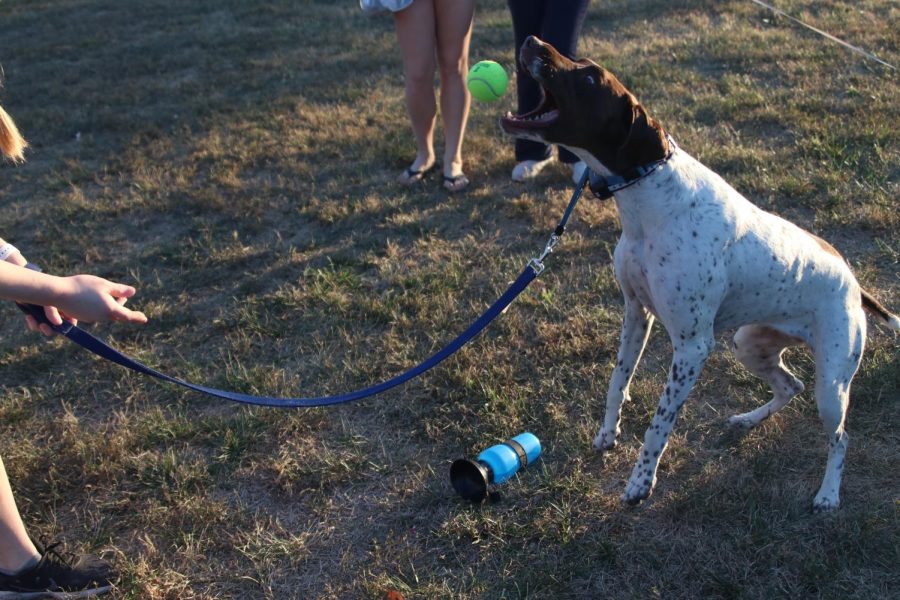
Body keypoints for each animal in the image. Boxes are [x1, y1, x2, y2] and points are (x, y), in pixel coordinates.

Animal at [502, 35, 896, 508]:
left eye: (591, 77)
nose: (531, 41)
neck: (650, 200)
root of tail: (854, 284)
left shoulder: (692, 347)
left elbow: (658, 425)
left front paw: (640, 482)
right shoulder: (636, 313)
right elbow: (617, 382)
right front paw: (607, 435)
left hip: (833, 384)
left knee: (840, 437)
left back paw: (828, 494)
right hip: (750, 344)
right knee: (790, 386)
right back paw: (748, 419)